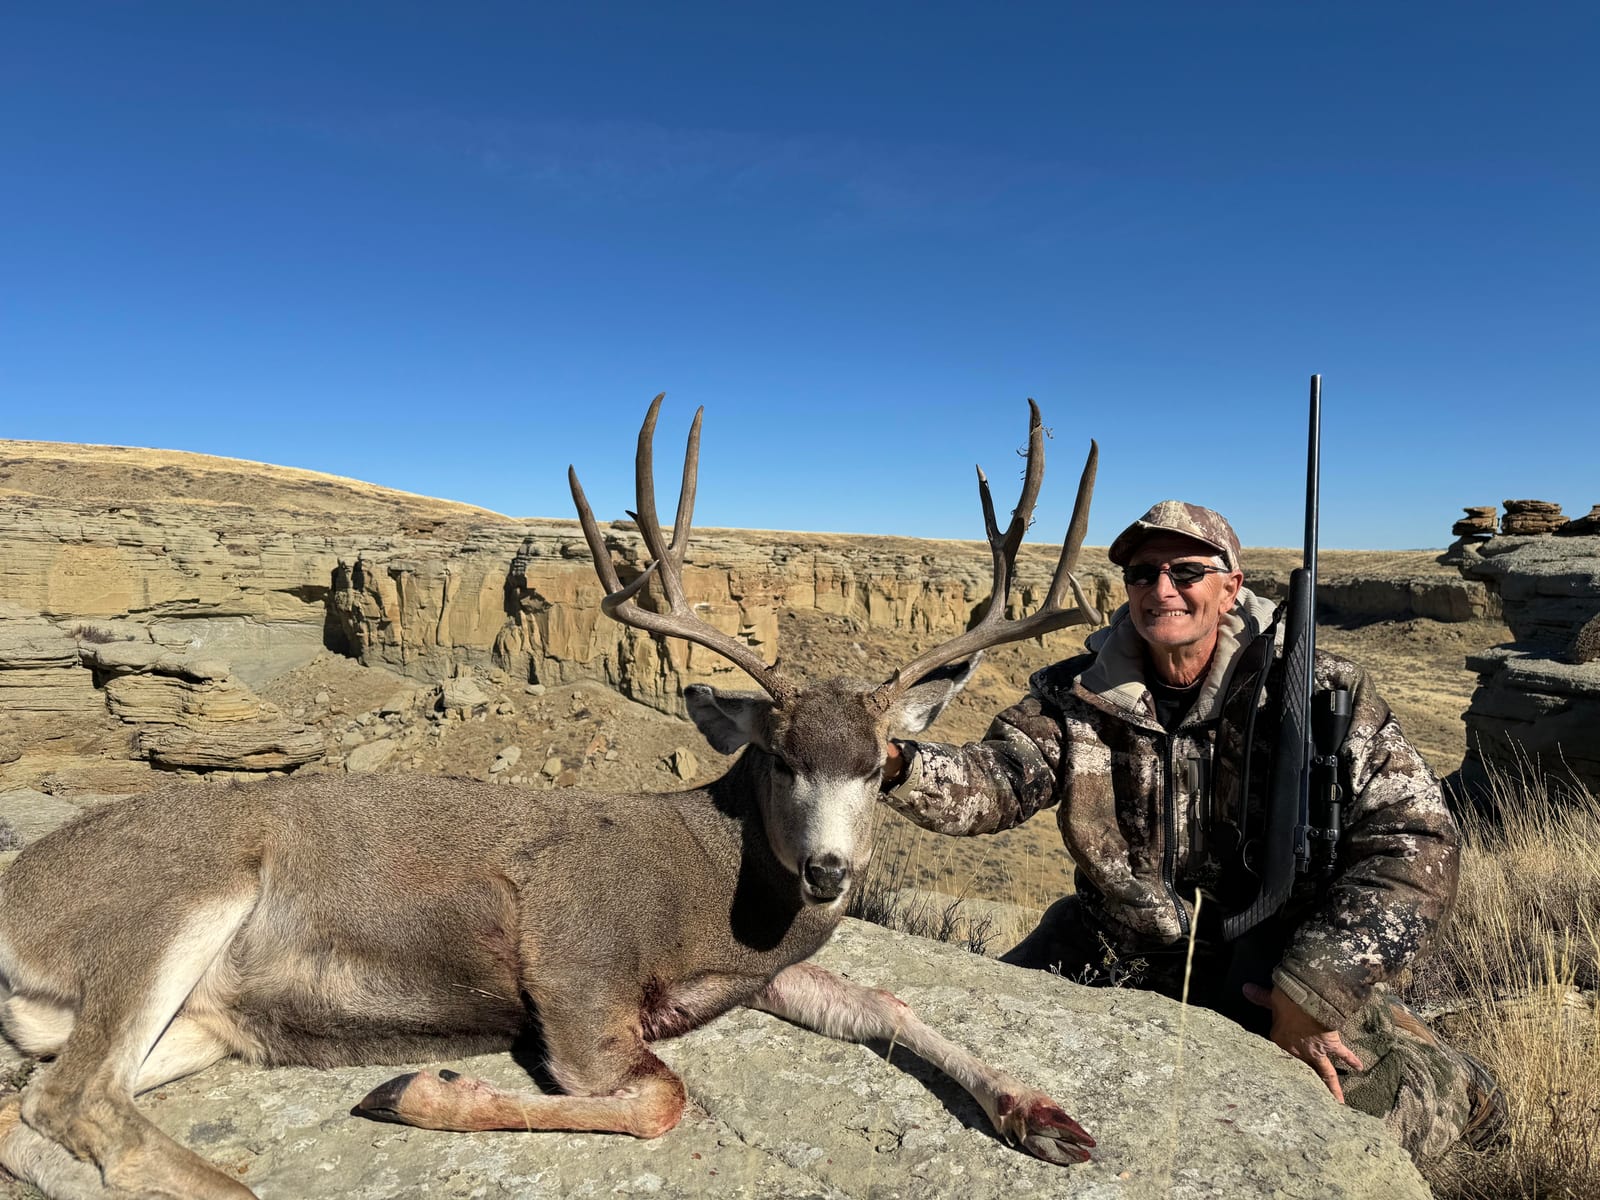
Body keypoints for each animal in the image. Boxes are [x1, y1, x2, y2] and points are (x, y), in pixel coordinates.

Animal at [0, 395, 1101, 1200]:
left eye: (880, 765)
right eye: (779, 759)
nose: (829, 870)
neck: (717, 887)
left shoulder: (753, 973)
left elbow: (885, 1002)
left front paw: (1043, 1115)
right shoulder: (574, 971)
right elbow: (661, 1100)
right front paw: (419, 1087)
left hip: (191, 1021)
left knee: (31, 1107)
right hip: (181, 894)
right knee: (77, 1103)